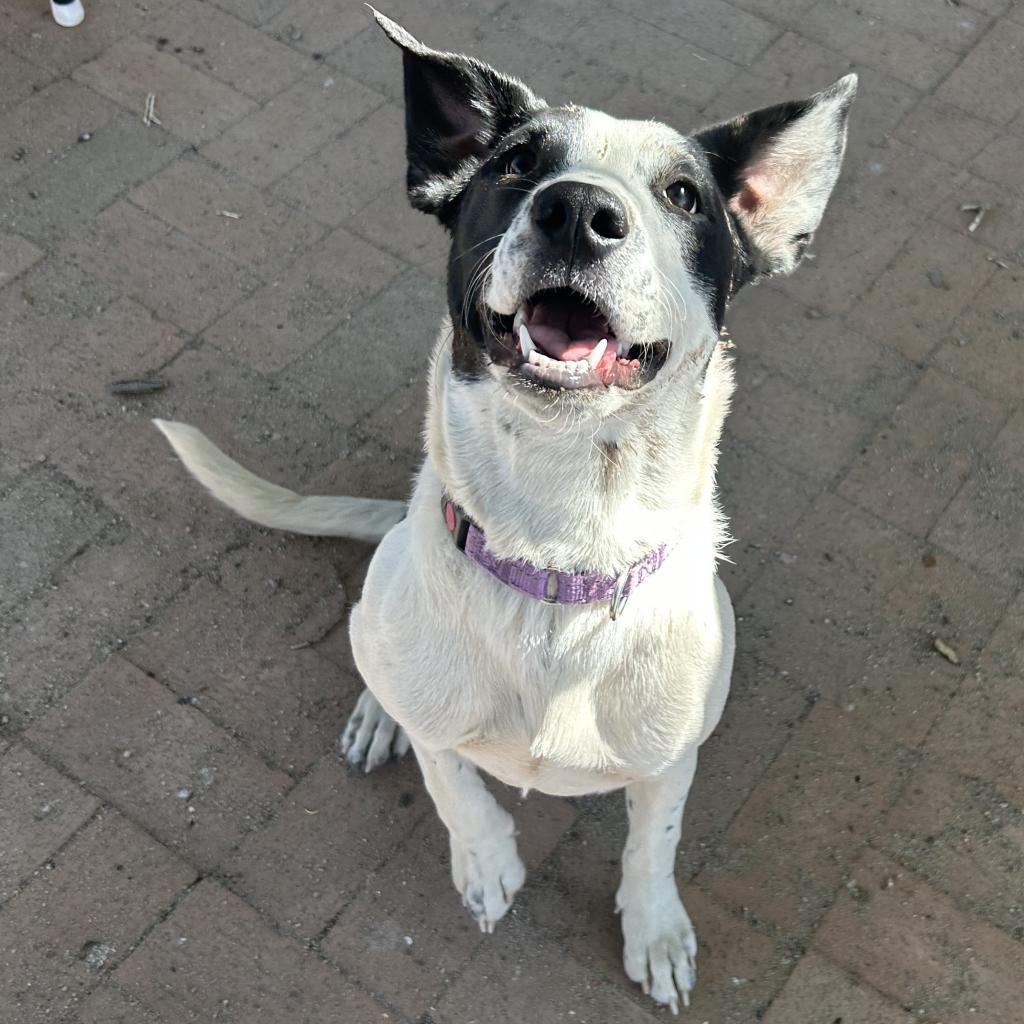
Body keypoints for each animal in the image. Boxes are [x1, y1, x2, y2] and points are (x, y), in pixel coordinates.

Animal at [153, 12, 856, 1011]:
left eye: (683, 194)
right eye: (519, 164)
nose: (577, 211)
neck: (556, 555)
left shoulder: (670, 760)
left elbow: (654, 844)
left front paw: (654, 930)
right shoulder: (443, 721)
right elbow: (455, 783)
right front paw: (484, 864)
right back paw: (378, 718)